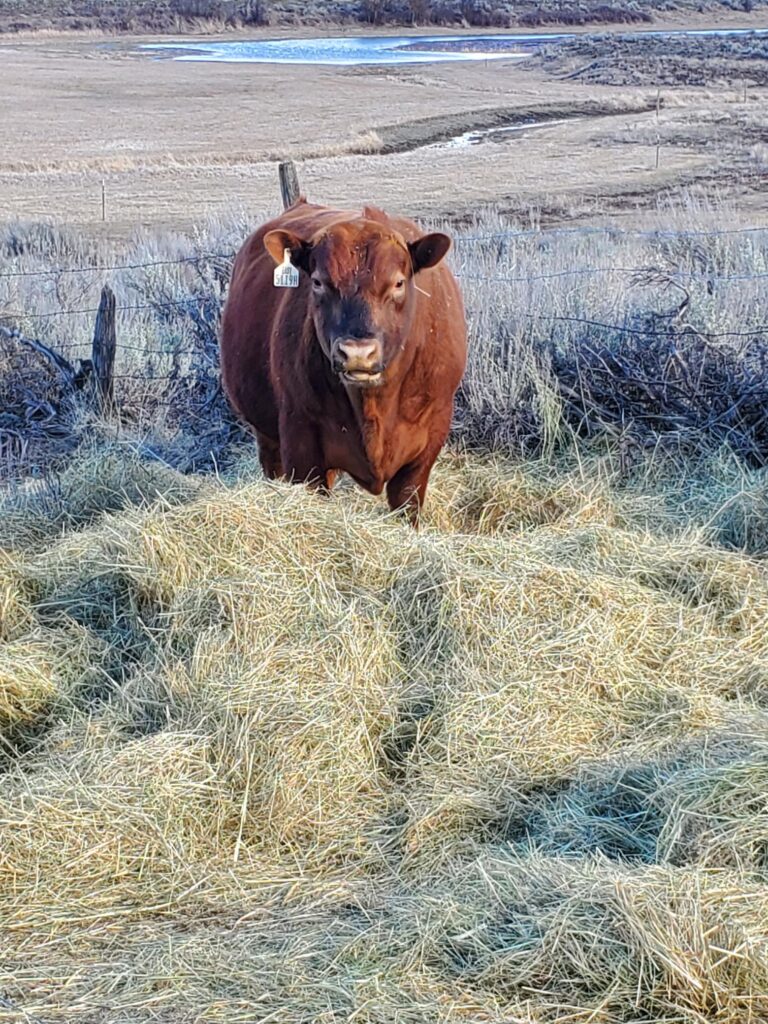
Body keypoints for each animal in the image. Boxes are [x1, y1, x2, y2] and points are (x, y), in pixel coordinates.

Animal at [220, 198, 467, 525]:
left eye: (398, 283)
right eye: (318, 282)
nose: (358, 353)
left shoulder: (426, 445)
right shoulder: (301, 443)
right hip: (268, 436)